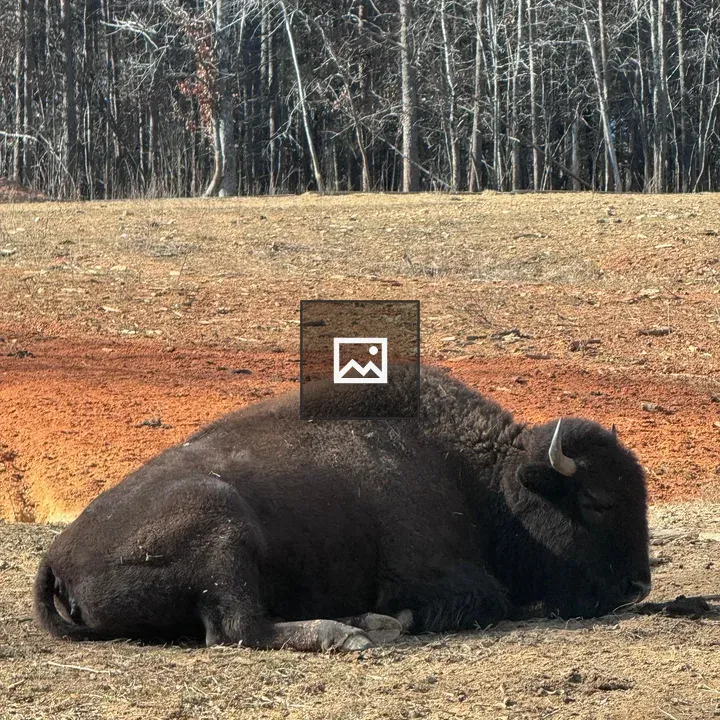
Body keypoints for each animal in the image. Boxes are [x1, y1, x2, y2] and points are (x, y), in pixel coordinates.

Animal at [35, 365, 650, 651]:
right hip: (222, 526)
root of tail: (56, 556)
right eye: (597, 501)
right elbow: (489, 598)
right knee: (239, 628)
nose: (637, 587)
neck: (478, 476)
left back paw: (371, 623)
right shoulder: (431, 573)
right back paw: (350, 633)